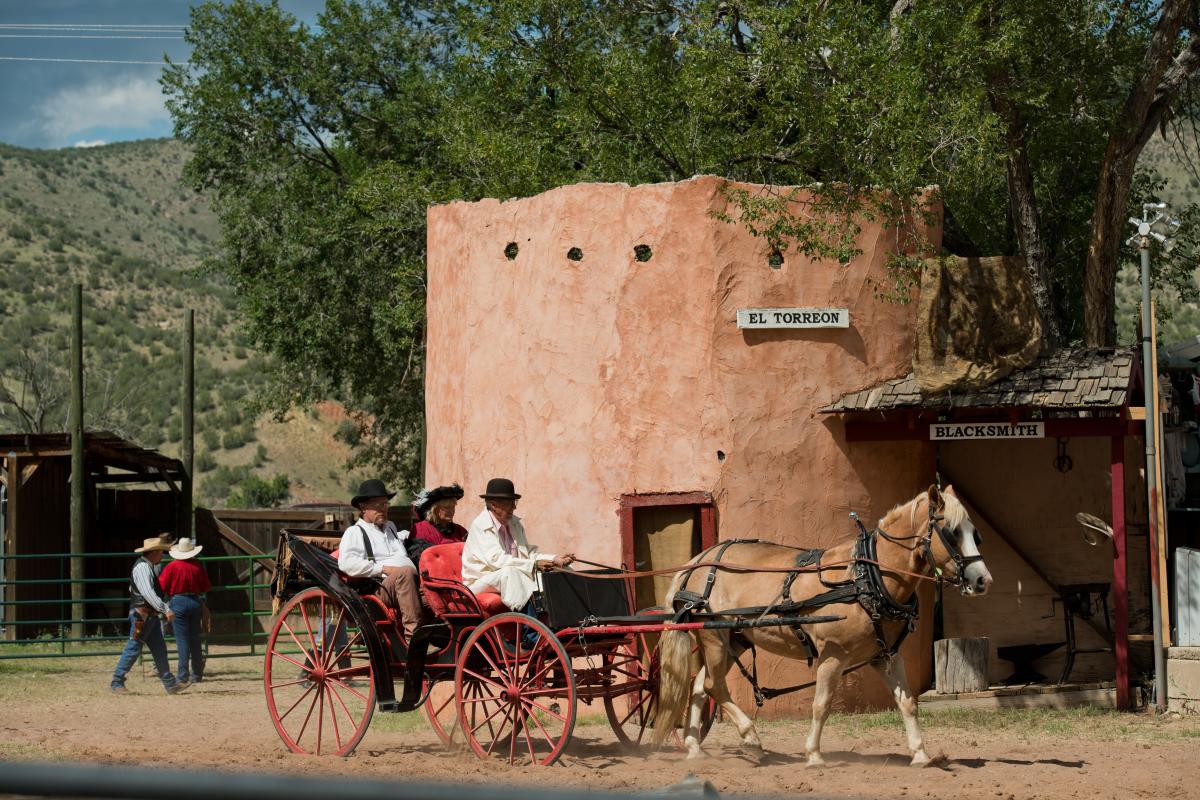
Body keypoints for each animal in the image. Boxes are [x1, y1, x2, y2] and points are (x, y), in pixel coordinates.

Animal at [651, 484, 993, 767]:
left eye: (976, 534)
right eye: (951, 531)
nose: (982, 580)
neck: (867, 579)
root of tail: (700, 561)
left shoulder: (886, 656)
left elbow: (907, 702)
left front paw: (921, 754)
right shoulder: (833, 655)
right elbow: (821, 704)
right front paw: (813, 754)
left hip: (734, 639)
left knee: (700, 686)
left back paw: (695, 746)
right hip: (714, 636)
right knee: (713, 686)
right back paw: (750, 737)